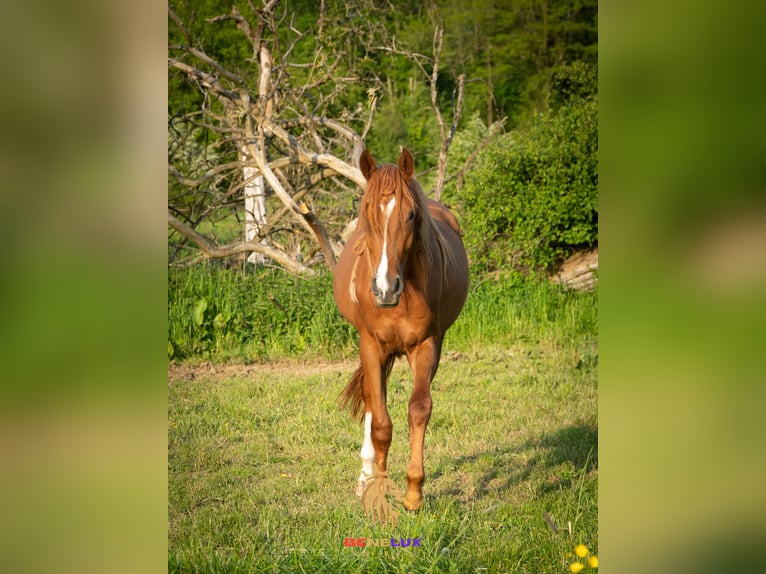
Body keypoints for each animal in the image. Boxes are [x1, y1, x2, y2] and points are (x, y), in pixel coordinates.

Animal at [332, 148, 472, 512]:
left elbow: (419, 408)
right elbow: (380, 422)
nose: (385, 288)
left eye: (410, 214)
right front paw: (378, 488)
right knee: (371, 400)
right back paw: (365, 476)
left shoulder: (427, 345)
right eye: (367, 212)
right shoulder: (371, 345)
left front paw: (413, 494)